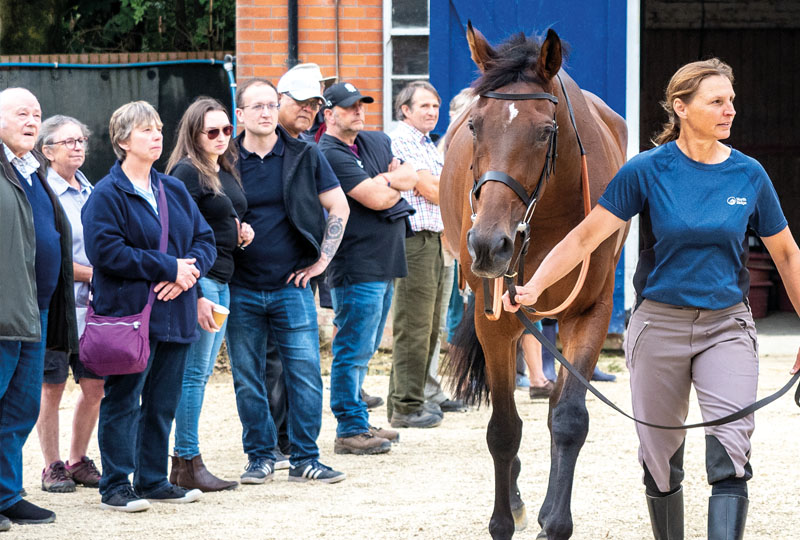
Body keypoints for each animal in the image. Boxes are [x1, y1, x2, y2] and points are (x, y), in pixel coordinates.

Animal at [440, 23, 628, 536]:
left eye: (545, 131)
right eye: (474, 126)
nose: (488, 244)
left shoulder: (591, 311)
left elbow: (569, 418)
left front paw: (556, 522)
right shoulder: (497, 321)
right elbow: (503, 430)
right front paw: (503, 520)